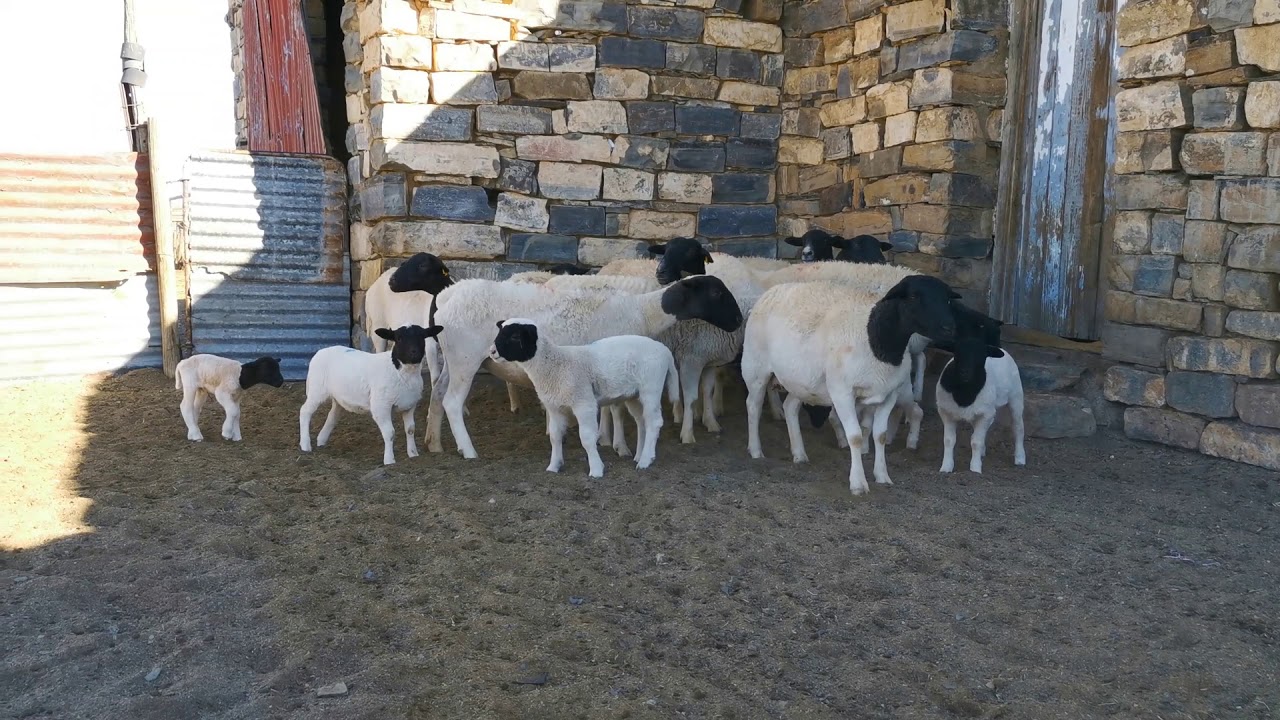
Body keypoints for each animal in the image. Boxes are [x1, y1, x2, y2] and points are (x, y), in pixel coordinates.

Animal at [299, 324, 444, 465]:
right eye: (399, 338)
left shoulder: (409, 405)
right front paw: (389, 460)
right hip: (316, 390)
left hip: (339, 396)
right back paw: (305, 445)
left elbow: (410, 429)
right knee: (305, 411)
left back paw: (321, 440)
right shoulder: (381, 406)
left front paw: (413, 454)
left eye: (422, 336)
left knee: (332, 415)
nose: (414, 353)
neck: (400, 371)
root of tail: (320, 352)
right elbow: (390, 433)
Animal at [424, 274, 743, 459]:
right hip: (466, 359)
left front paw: (604, 438)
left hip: (451, 360)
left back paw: (434, 443)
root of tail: (446, 295)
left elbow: (607, 407)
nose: (739, 320)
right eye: (716, 293)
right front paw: (619, 446)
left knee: (437, 395)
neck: (642, 312)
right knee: (452, 402)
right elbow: (616, 409)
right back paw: (468, 450)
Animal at [489, 318, 680, 477]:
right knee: (642, 421)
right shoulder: (555, 407)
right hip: (634, 394)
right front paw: (554, 466)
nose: (492, 351)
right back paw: (640, 456)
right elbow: (555, 436)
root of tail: (665, 350)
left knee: (654, 422)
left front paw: (596, 470)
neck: (555, 365)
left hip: (651, 387)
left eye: (515, 336)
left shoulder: (584, 403)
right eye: (500, 331)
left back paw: (645, 461)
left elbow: (587, 438)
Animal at [741, 275, 959, 495]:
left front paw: (882, 476)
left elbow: (880, 435)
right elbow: (855, 437)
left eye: (948, 299)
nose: (949, 327)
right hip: (755, 368)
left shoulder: (889, 396)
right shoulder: (842, 393)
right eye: (914, 296)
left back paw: (799, 454)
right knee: (753, 406)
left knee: (790, 407)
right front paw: (858, 484)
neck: (877, 340)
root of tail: (771, 291)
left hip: (802, 381)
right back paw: (756, 451)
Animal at [933, 336, 1026, 474]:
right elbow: (949, 440)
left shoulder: (985, 414)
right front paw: (946, 467)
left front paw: (975, 468)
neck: (965, 393)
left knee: (1018, 427)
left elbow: (976, 442)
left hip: (1016, 397)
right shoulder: (946, 412)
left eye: (981, 356)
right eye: (956, 353)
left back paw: (1020, 458)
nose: (965, 372)